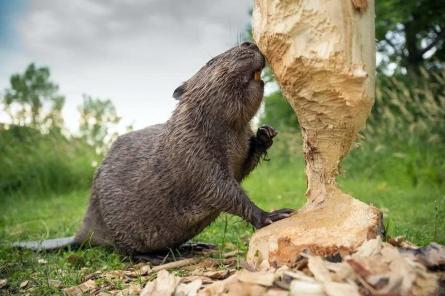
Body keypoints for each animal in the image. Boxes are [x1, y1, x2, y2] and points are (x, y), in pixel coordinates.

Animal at [14, 42, 292, 256]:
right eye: (211, 61)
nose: (250, 43)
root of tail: (82, 233)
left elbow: (242, 168)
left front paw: (265, 134)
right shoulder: (191, 151)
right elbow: (220, 189)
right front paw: (272, 215)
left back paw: (195, 245)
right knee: (125, 252)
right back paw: (158, 257)